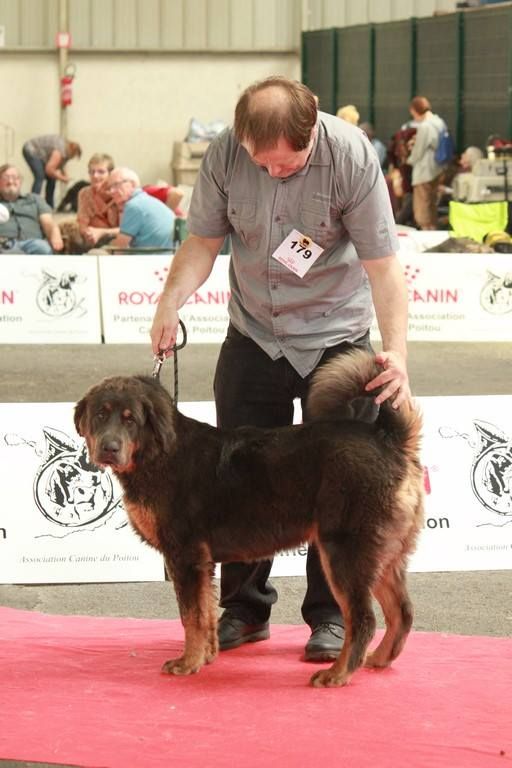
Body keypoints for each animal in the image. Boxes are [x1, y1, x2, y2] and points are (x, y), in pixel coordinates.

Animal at [73, 352, 424, 688]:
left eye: (130, 419)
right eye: (100, 415)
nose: (109, 447)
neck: (160, 453)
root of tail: (389, 440)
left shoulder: (185, 556)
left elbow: (190, 616)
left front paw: (187, 663)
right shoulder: (201, 562)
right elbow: (204, 613)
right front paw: (206, 656)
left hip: (345, 552)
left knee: (364, 619)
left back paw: (337, 674)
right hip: (382, 556)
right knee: (402, 612)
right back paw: (378, 659)